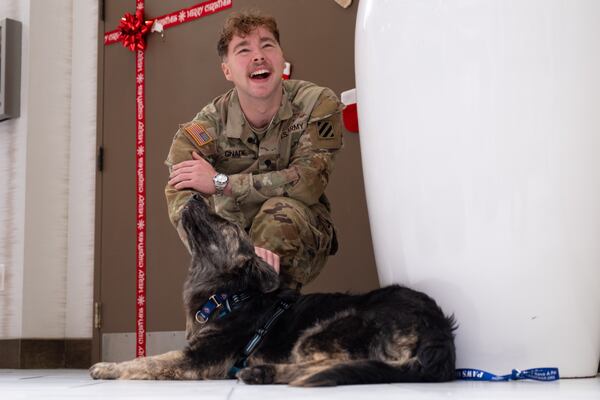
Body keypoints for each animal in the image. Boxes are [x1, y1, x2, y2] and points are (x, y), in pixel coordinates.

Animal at [88, 195, 454, 386]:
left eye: (224, 222)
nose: (194, 195)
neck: (229, 296)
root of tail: (439, 330)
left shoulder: (198, 359)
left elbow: (147, 361)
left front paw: (109, 367)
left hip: (323, 332)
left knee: (330, 368)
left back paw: (262, 372)